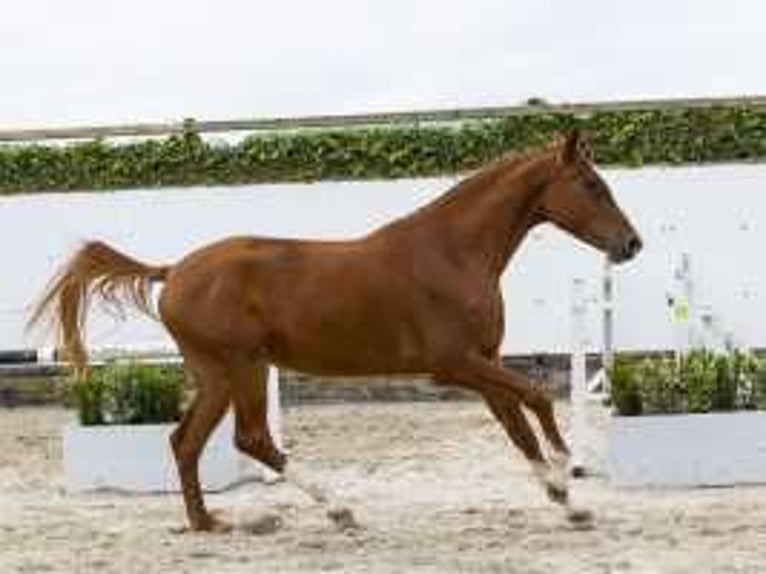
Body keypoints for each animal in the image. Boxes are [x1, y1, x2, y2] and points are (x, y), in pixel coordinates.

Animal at [28, 130, 640, 532]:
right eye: (591, 184)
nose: (631, 244)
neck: (453, 253)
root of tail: (173, 270)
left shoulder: (483, 361)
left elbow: (518, 426)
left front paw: (568, 500)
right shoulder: (454, 364)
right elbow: (538, 398)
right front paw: (567, 467)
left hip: (223, 373)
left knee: (190, 440)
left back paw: (209, 522)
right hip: (237, 368)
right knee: (247, 438)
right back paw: (337, 508)